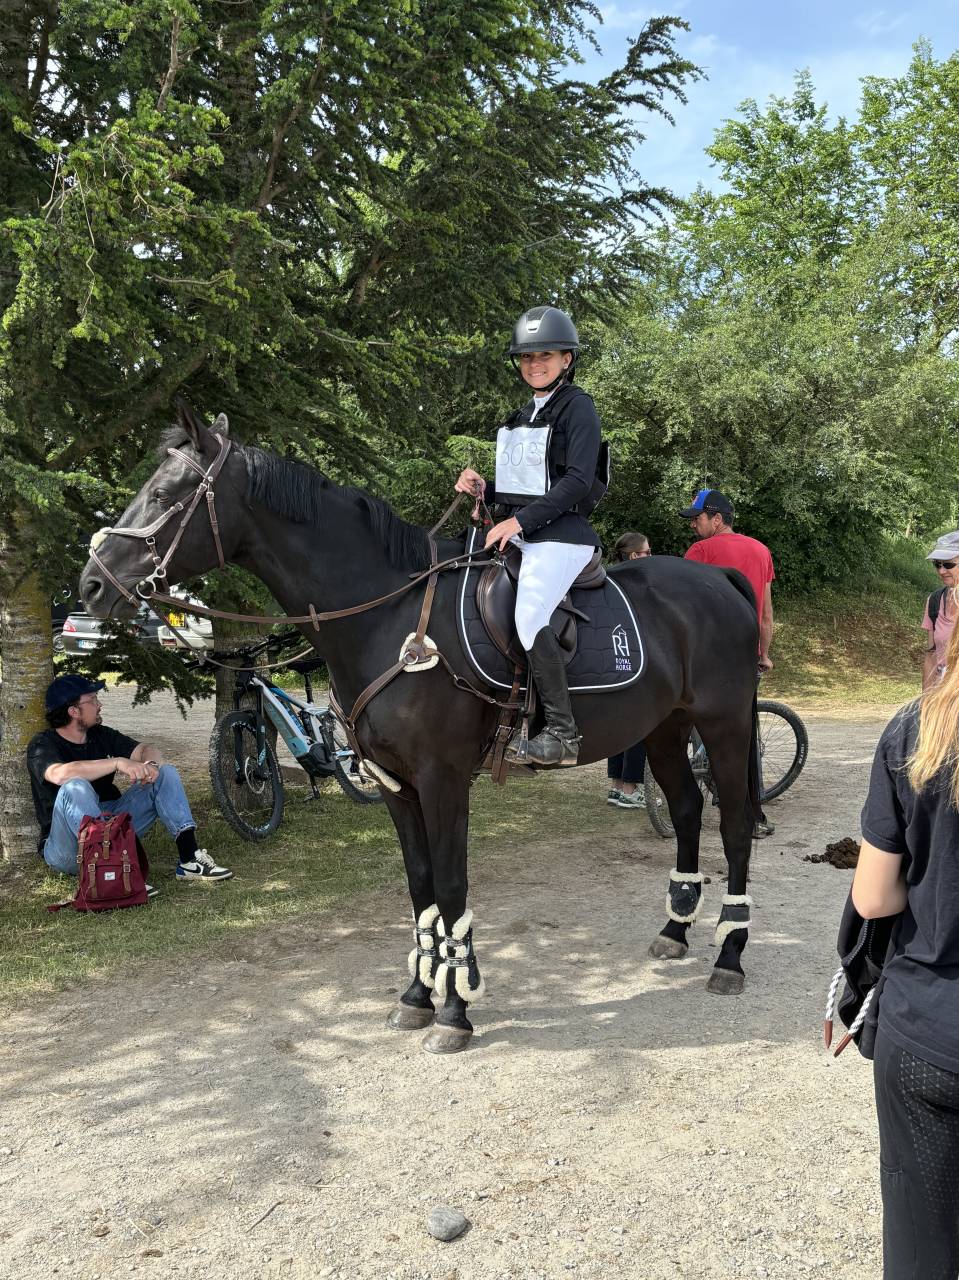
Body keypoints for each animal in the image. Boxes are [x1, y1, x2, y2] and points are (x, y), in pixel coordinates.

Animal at [79, 403, 762, 1054]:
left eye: (165, 495)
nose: (91, 583)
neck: (389, 616)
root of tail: (719, 581)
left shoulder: (442, 780)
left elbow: (452, 887)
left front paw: (455, 1011)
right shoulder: (395, 784)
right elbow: (421, 886)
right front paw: (417, 996)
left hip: (723, 727)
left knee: (732, 823)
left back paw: (729, 957)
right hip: (665, 731)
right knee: (686, 810)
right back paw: (674, 930)